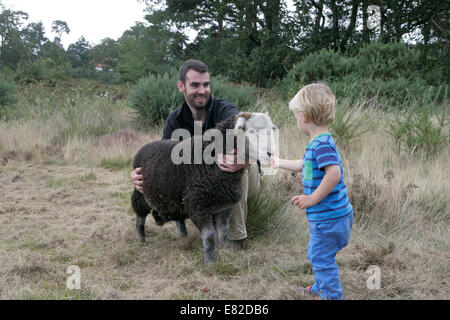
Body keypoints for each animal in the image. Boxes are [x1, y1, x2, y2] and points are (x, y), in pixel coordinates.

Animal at [131, 112, 278, 262]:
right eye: (251, 131)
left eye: (272, 129)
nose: (270, 154)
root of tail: (144, 148)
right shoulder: (198, 206)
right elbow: (209, 235)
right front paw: (210, 261)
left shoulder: (224, 206)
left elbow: (223, 231)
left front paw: (222, 252)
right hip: (141, 192)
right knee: (139, 214)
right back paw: (141, 239)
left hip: (174, 196)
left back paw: (183, 236)